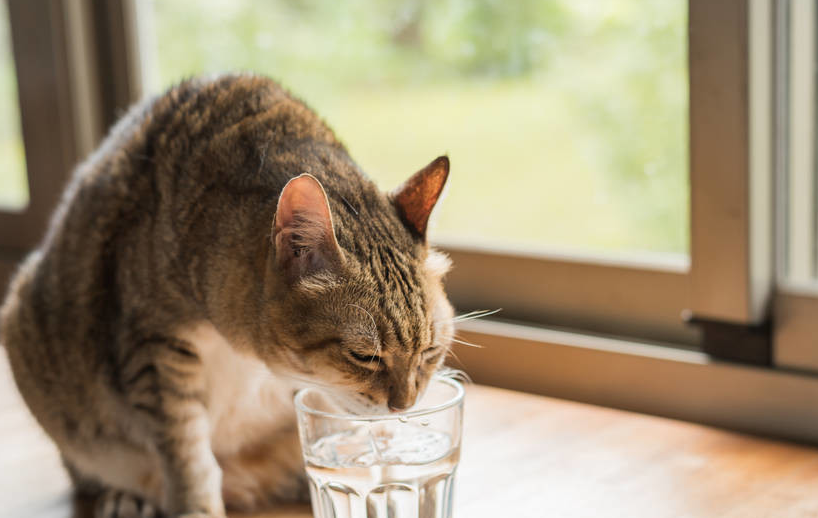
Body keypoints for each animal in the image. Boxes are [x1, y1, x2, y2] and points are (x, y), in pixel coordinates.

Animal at [0, 74, 452, 518]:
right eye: (364, 356)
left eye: (430, 353)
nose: (405, 407)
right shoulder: (154, 350)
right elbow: (189, 458)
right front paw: (195, 506)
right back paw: (128, 498)